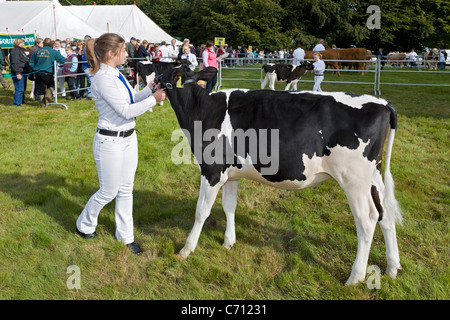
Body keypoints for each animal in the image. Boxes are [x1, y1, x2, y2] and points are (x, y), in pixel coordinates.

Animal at [157, 65, 400, 284]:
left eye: (165, 71)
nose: (153, 81)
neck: (204, 110)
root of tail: (383, 104)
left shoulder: (211, 170)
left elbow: (201, 211)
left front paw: (185, 250)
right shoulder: (231, 173)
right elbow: (229, 206)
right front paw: (228, 242)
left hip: (354, 179)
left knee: (367, 220)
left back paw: (355, 277)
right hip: (373, 176)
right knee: (385, 213)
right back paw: (392, 267)